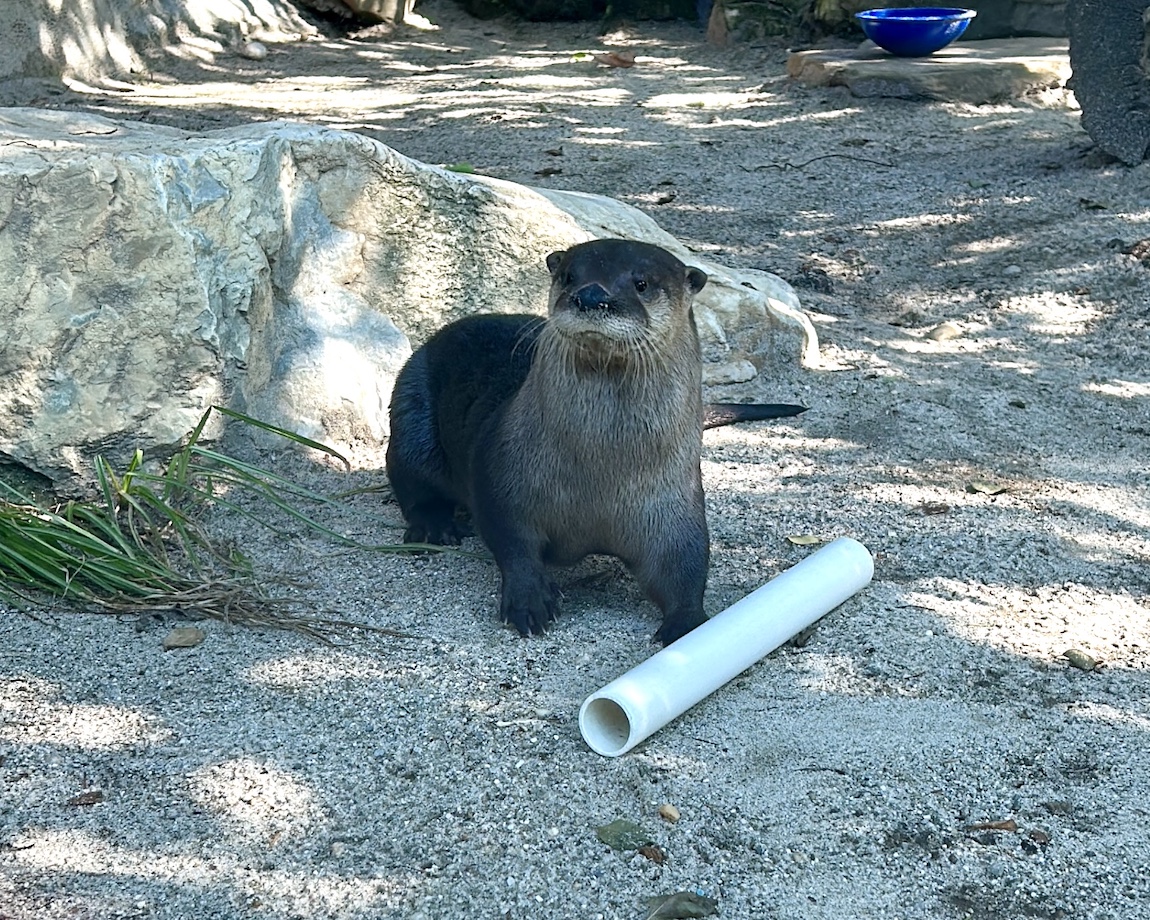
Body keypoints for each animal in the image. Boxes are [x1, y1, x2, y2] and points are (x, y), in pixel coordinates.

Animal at [381, 240, 805, 644]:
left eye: (641, 283)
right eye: (569, 276)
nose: (590, 296)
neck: (599, 476)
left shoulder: (675, 503)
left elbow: (684, 563)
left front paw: (689, 624)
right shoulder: (502, 475)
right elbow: (511, 539)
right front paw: (528, 598)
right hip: (411, 404)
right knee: (409, 476)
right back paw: (436, 525)